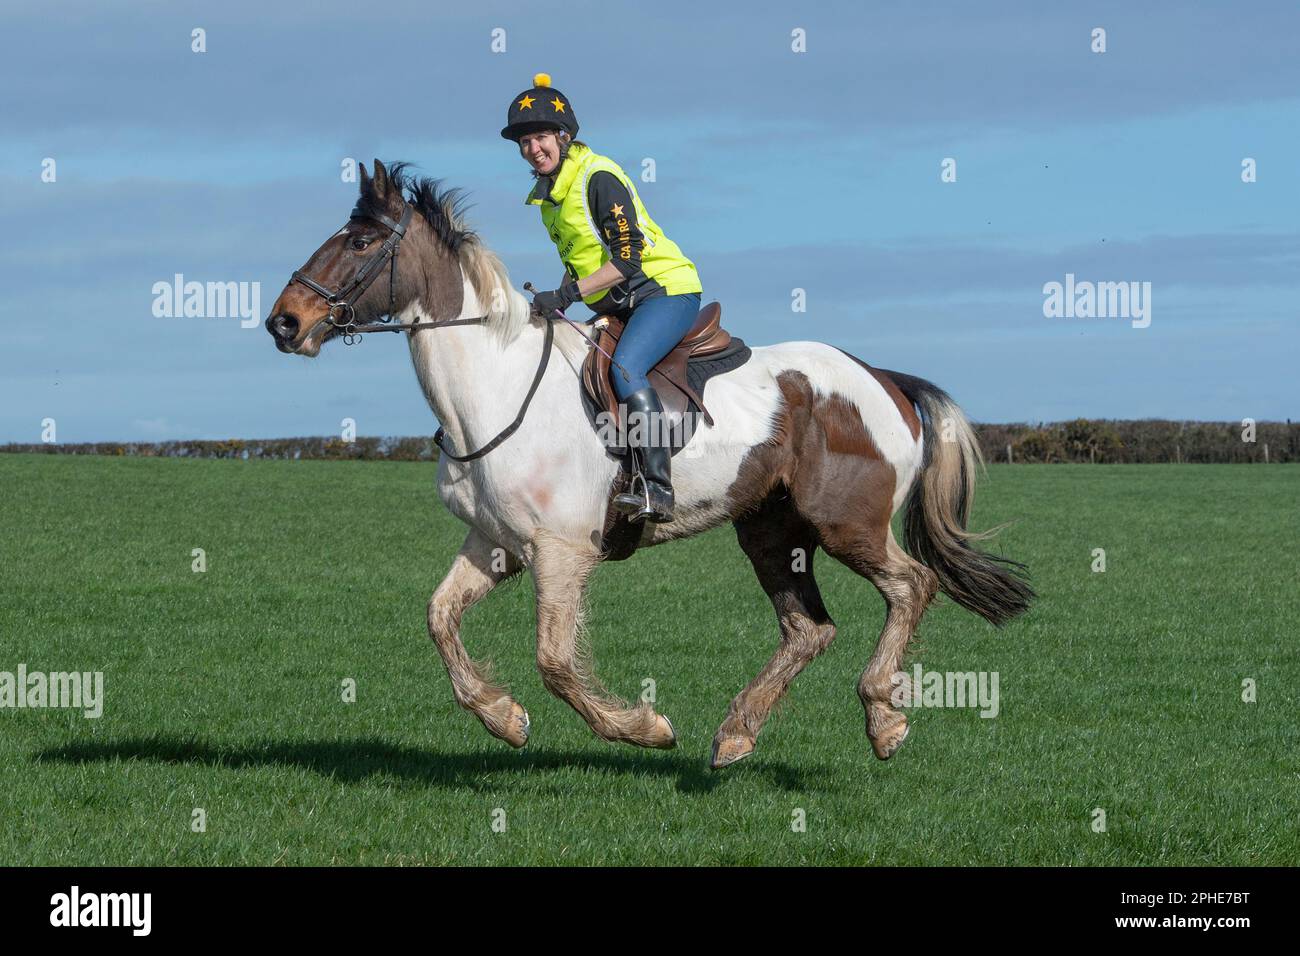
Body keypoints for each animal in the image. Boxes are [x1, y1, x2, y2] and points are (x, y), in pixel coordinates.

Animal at [266, 158, 1034, 770]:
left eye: (360, 241)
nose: (284, 322)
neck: (494, 388)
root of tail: (883, 379)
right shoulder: (493, 542)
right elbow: (439, 618)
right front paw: (501, 716)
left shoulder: (561, 551)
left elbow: (555, 663)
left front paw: (643, 728)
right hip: (770, 530)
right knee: (808, 628)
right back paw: (737, 733)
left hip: (848, 524)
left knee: (911, 586)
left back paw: (881, 718)